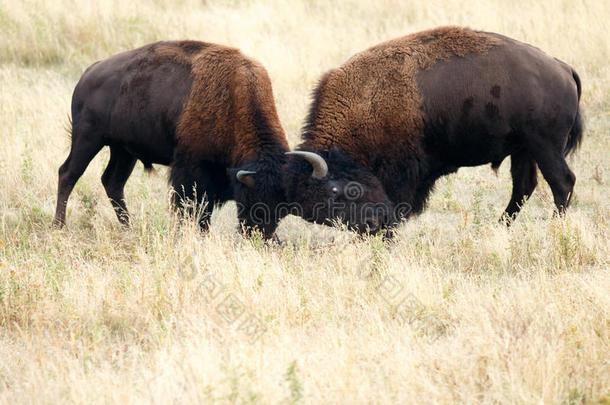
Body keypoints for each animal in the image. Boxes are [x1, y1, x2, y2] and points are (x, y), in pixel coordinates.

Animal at [53, 40, 288, 237]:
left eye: (282, 209)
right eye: (252, 201)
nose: (261, 236)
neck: (234, 99)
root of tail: (89, 73)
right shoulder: (191, 169)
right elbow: (192, 207)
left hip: (123, 151)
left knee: (113, 182)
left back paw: (129, 227)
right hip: (88, 139)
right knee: (68, 173)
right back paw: (59, 226)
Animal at [282, 26, 580, 234]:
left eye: (333, 192)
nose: (371, 226)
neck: (366, 100)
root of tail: (562, 68)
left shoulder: (402, 173)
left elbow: (399, 203)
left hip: (544, 146)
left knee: (561, 182)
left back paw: (555, 229)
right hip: (524, 150)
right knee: (524, 187)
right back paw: (499, 227)